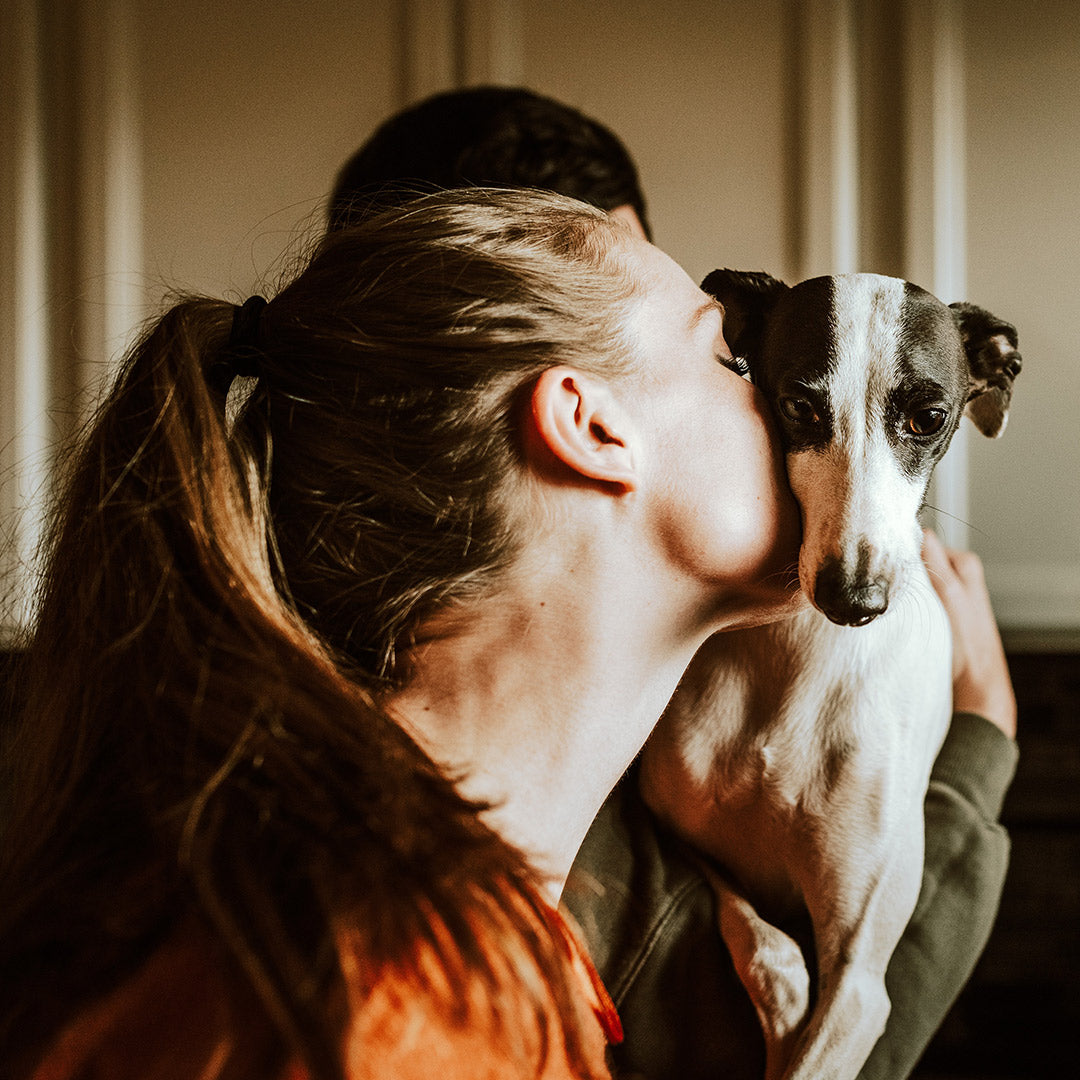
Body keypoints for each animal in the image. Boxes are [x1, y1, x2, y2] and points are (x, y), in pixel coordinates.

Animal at [639, 270, 1019, 1080]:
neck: (797, 662)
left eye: (929, 416)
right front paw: (784, 1002)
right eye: (798, 406)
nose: (854, 597)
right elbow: (762, 943)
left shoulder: (862, 984)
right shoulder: (670, 823)